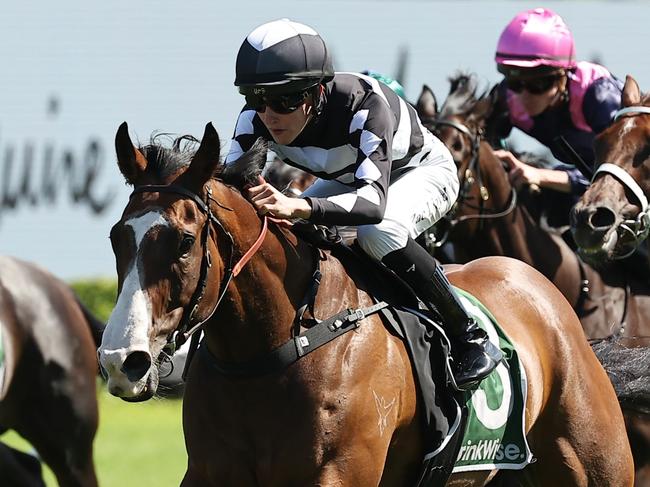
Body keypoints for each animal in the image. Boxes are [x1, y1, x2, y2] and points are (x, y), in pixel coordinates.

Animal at [97, 120, 632, 486]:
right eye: (116, 238)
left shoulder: (337, 473)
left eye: (185, 242)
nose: (123, 361)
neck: (275, 349)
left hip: (594, 461)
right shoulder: (210, 471)